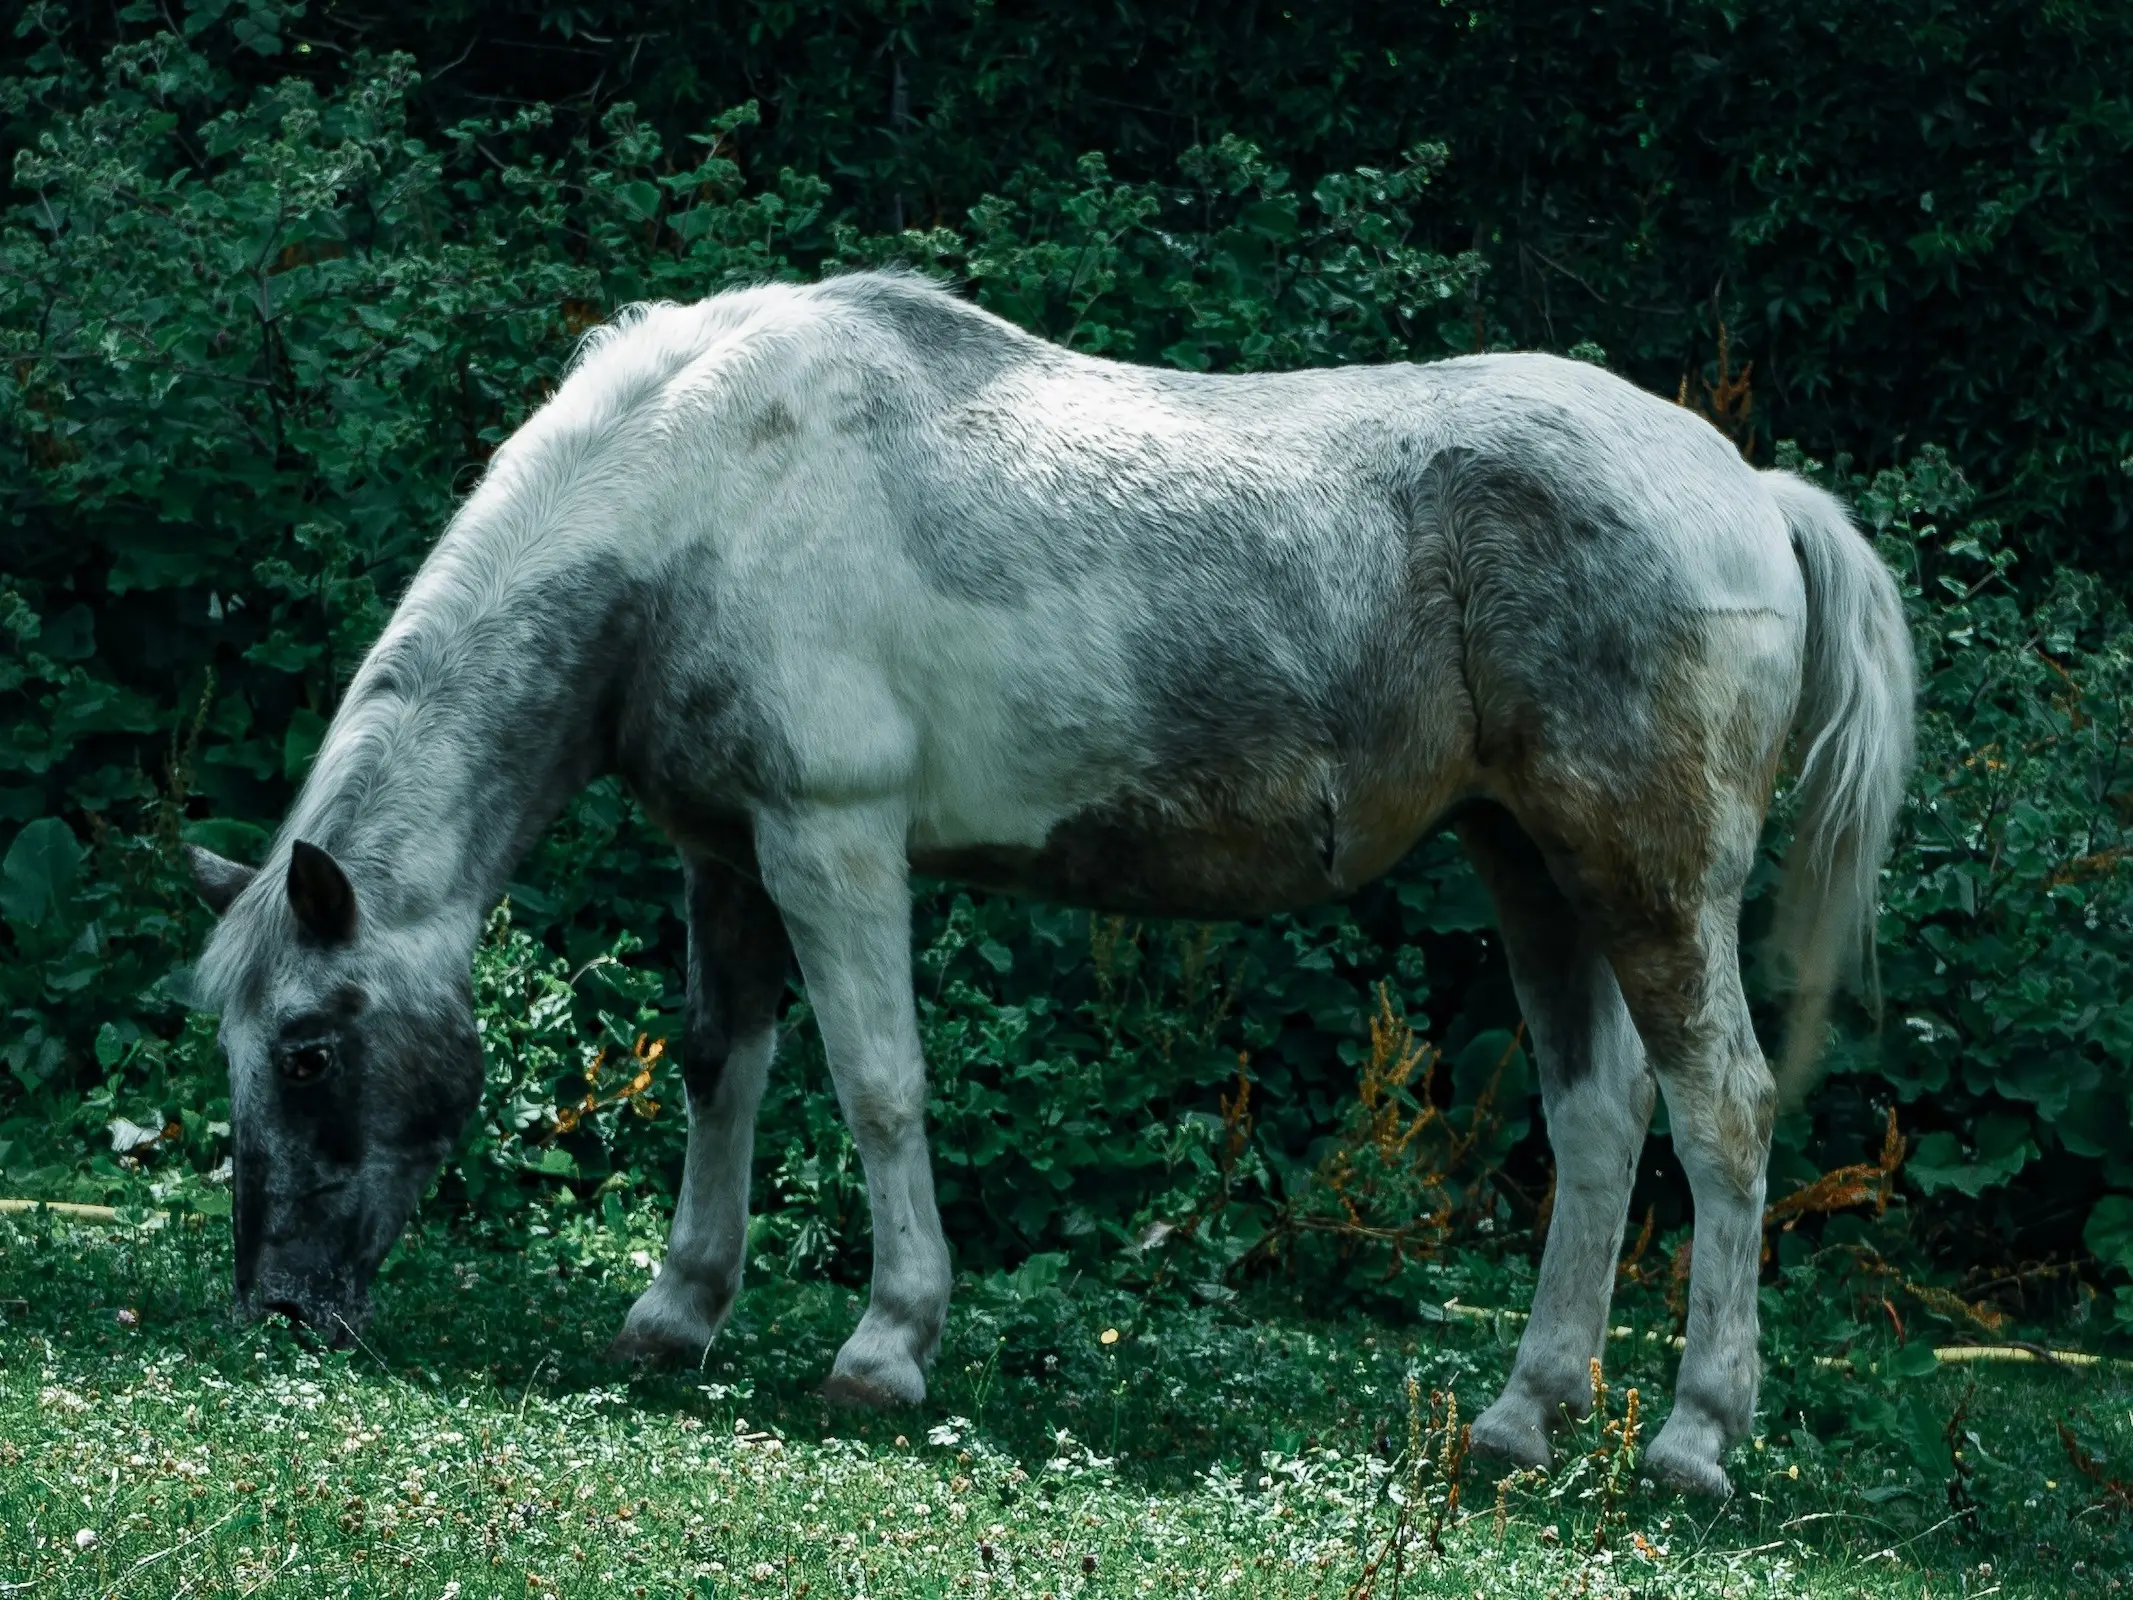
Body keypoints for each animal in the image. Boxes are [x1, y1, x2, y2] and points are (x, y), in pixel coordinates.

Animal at [187, 273, 1919, 1493]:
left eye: (312, 1053)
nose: (278, 1311)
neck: (703, 500)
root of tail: (1750, 488)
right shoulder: (726, 857)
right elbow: (720, 1068)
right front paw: (677, 1315)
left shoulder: (830, 844)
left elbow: (878, 1086)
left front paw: (884, 1347)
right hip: (1533, 867)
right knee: (1596, 1119)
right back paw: (1521, 1417)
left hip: (1644, 878)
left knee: (1720, 1116)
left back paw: (1693, 1439)